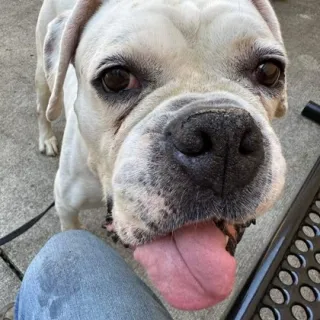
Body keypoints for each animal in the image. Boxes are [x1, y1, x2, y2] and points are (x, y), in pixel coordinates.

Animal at [35, 0, 288, 310]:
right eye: (116, 78)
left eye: (269, 71)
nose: (223, 131)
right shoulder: (66, 206)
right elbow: (72, 228)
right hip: (43, 74)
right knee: (44, 106)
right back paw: (46, 137)